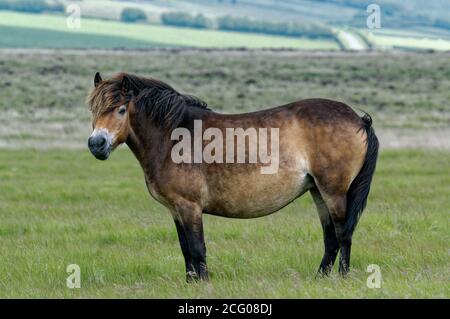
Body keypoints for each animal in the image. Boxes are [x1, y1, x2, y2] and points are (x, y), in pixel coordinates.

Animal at [86, 72, 378, 280]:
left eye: (121, 110)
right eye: (93, 110)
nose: (96, 144)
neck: (173, 137)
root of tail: (358, 119)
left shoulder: (189, 206)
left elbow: (197, 248)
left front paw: (203, 284)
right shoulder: (175, 209)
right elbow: (185, 249)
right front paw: (190, 283)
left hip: (334, 191)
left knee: (343, 234)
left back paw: (342, 277)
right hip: (317, 191)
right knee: (330, 238)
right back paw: (320, 278)